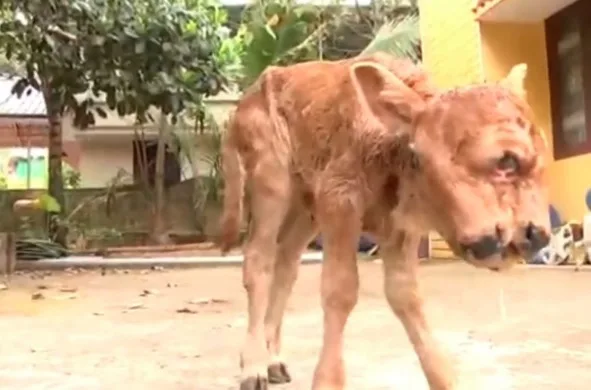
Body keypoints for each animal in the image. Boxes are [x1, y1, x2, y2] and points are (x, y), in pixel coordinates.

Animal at [221, 52, 552, 390]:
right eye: (418, 157)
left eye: (519, 159)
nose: (489, 240)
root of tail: (241, 105)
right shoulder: (339, 198)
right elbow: (340, 291)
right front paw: (327, 380)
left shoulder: (398, 225)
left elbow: (405, 295)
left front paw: (445, 379)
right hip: (270, 183)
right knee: (259, 261)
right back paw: (254, 367)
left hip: (305, 210)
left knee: (286, 265)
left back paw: (272, 360)